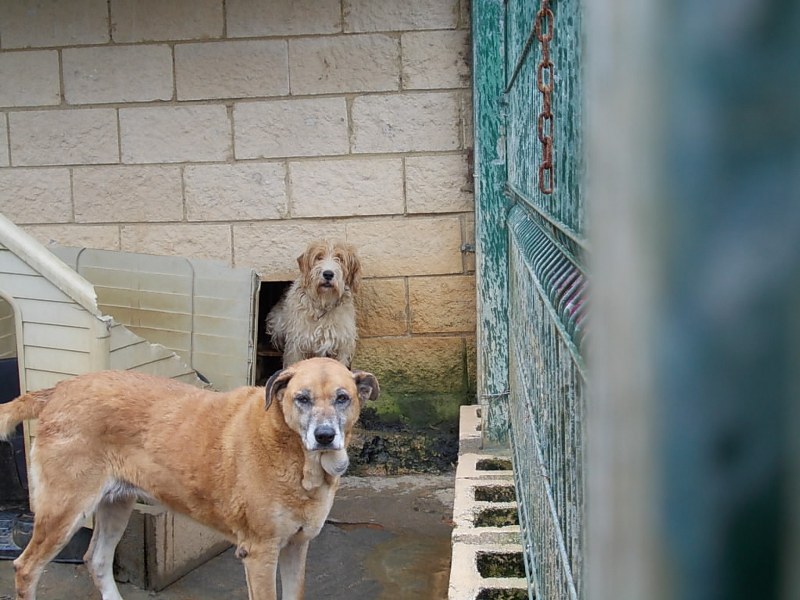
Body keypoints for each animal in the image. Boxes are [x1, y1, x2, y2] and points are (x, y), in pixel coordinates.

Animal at [0, 358, 380, 596]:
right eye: (302, 398)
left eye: (342, 398)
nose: (325, 436)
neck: (297, 457)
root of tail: (58, 389)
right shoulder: (260, 554)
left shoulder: (297, 547)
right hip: (63, 512)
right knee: (25, 568)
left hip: (116, 504)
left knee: (96, 560)